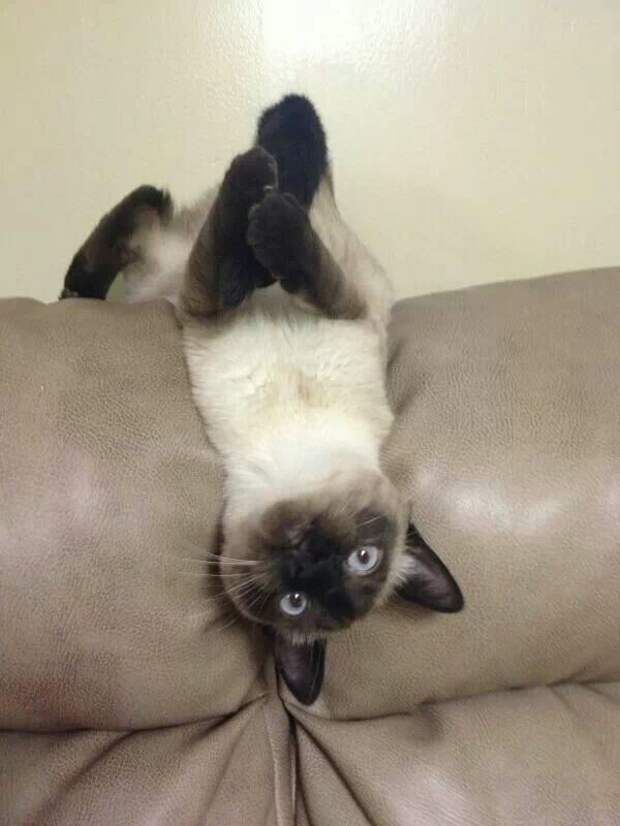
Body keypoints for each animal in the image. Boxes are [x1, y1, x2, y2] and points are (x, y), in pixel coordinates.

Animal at [61, 95, 463, 704]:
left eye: (295, 603)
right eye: (362, 556)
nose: (308, 557)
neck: (287, 443)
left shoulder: (205, 310)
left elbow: (225, 267)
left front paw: (258, 219)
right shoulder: (340, 309)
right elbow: (282, 266)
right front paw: (262, 213)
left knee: (162, 215)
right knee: (265, 148)